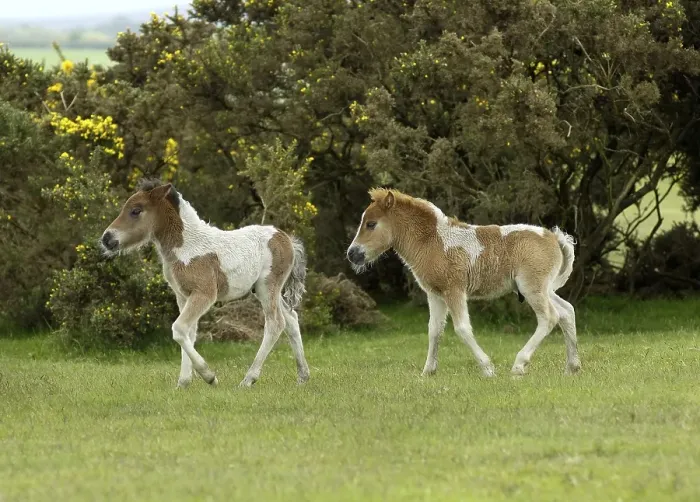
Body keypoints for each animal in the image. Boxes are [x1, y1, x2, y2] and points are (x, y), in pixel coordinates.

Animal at [100, 179, 311, 388]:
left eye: (136, 210)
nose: (106, 239)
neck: (187, 247)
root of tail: (286, 238)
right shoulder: (183, 296)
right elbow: (188, 332)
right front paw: (183, 383)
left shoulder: (205, 294)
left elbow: (179, 329)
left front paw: (209, 376)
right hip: (264, 290)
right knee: (291, 319)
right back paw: (303, 376)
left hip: (268, 287)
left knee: (276, 323)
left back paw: (248, 379)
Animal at [346, 188, 580, 377]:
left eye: (371, 224)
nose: (352, 254)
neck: (433, 242)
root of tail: (553, 238)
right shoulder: (435, 295)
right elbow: (434, 330)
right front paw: (427, 372)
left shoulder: (454, 290)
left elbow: (462, 328)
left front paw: (487, 369)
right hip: (542, 289)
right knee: (567, 311)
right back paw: (573, 366)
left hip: (532, 288)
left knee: (549, 317)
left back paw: (519, 365)